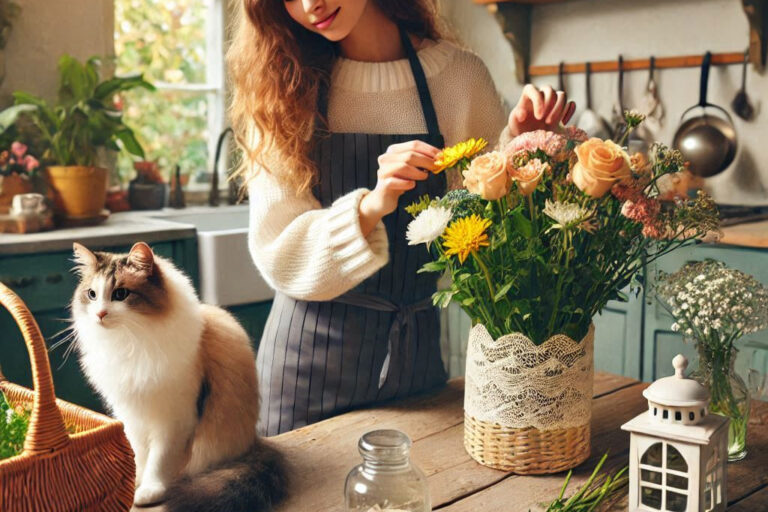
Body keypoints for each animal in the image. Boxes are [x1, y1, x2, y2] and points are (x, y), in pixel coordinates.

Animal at [69, 242, 284, 510]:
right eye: (92, 295)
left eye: (120, 294)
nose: (100, 314)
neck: (129, 343)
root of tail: (254, 442)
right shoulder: (131, 415)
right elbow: (139, 456)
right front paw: (135, 481)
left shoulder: (174, 420)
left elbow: (159, 461)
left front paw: (149, 491)